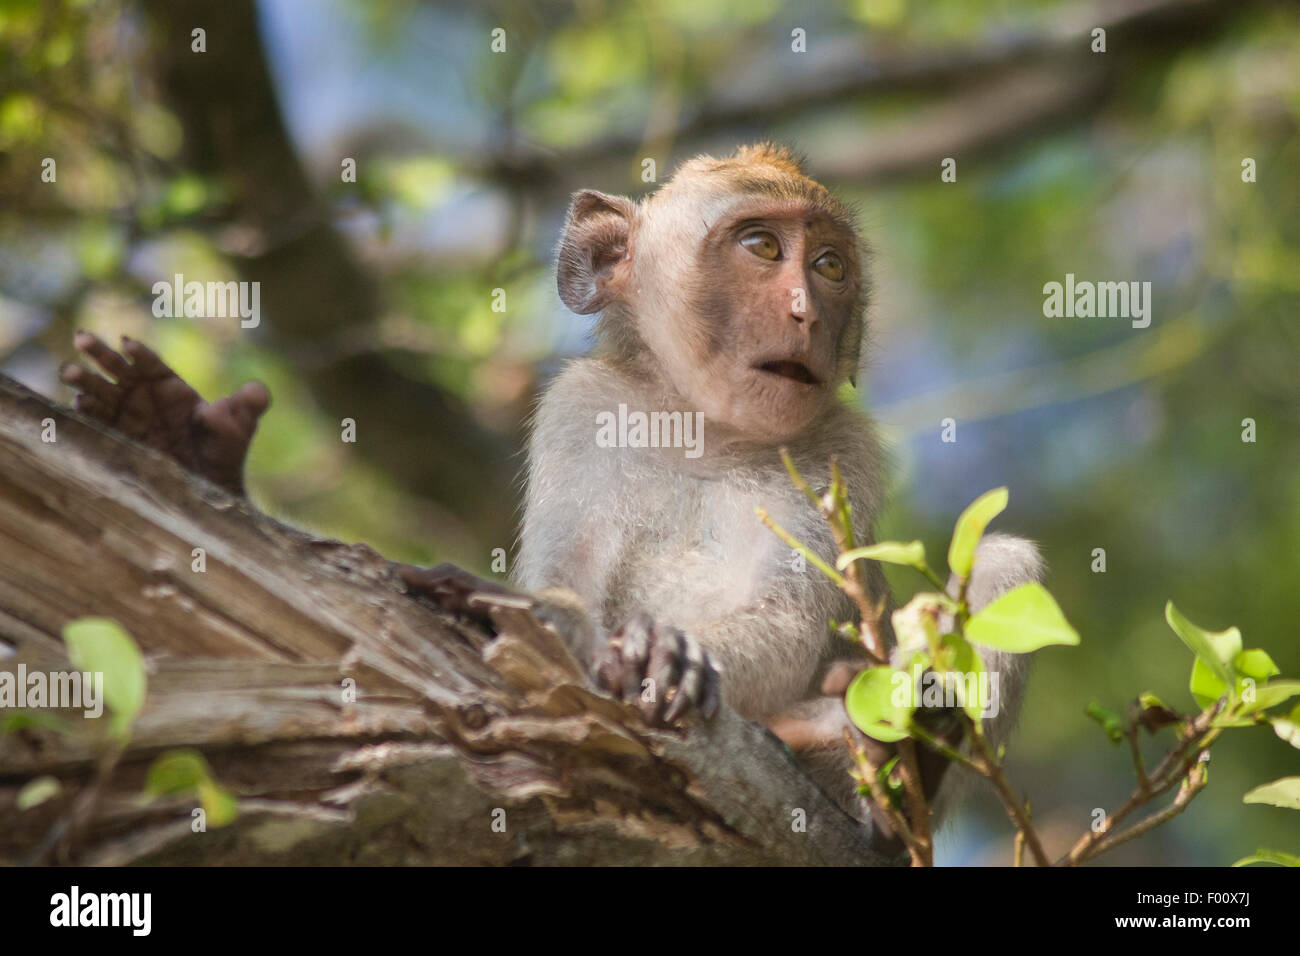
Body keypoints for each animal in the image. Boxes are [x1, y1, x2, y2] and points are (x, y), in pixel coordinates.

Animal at [59, 143, 1044, 849]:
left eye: (831, 264)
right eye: (764, 247)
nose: (807, 309)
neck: (703, 427)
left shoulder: (843, 455)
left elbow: (793, 616)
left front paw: (665, 655)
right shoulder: (585, 410)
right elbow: (563, 589)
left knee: (1002, 560)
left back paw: (892, 765)